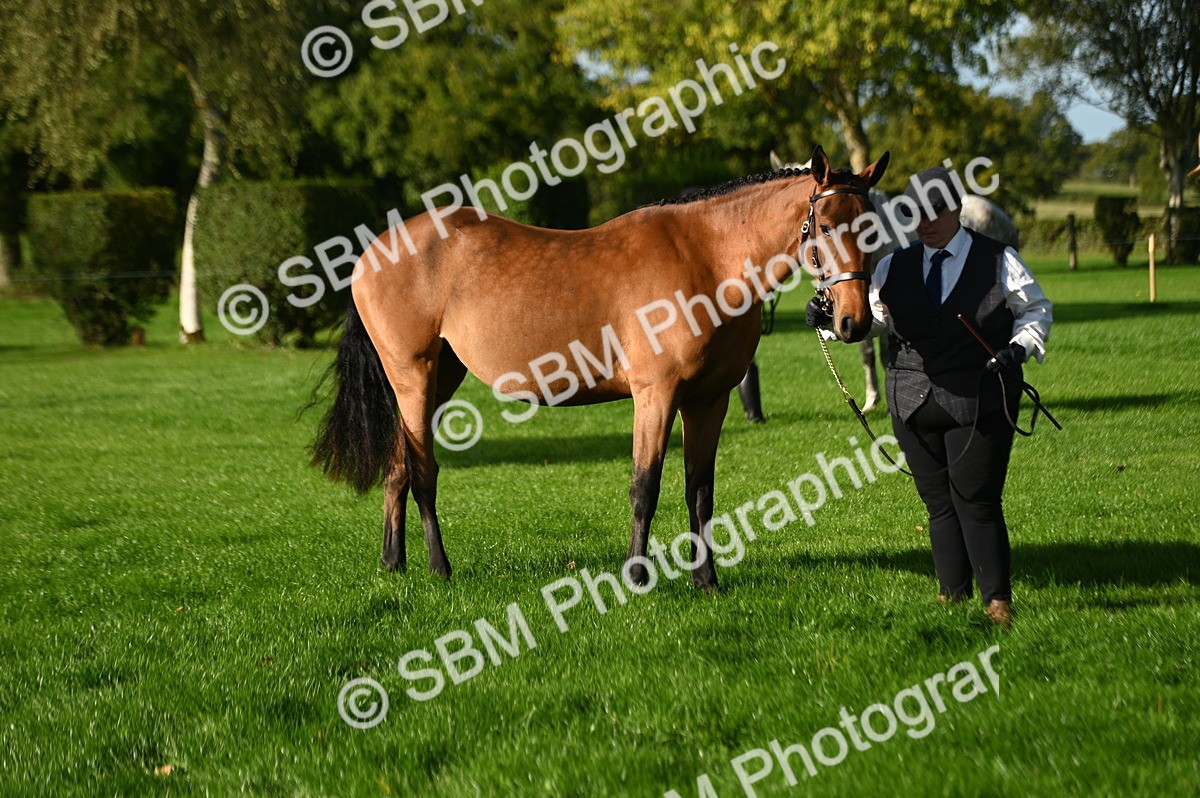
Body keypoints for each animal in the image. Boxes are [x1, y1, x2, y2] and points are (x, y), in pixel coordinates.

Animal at [311, 145, 890, 590]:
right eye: (826, 226)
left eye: (873, 228)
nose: (853, 321)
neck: (706, 259)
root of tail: (372, 252)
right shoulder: (656, 395)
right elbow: (645, 486)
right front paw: (636, 577)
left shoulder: (709, 400)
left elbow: (699, 491)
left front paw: (707, 581)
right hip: (415, 376)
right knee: (422, 471)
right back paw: (439, 568)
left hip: (438, 379)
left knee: (397, 467)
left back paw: (394, 563)